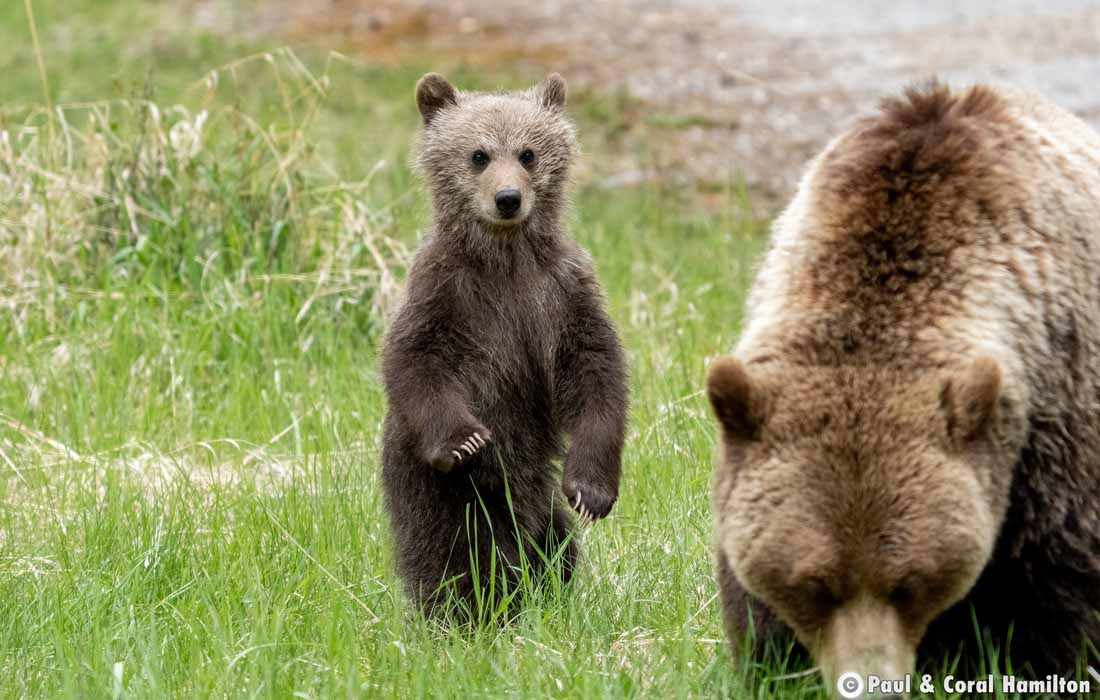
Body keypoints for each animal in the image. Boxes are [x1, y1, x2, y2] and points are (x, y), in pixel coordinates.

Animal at [382, 73, 629, 616]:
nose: (508, 198)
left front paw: (592, 490)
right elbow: (415, 360)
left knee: (556, 544)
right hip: (445, 492)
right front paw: (465, 438)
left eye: (528, 153)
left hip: (537, 498)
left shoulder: (561, 292)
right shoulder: (445, 293)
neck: (505, 260)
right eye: (478, 155)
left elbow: (596, 371)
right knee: (455, 553)